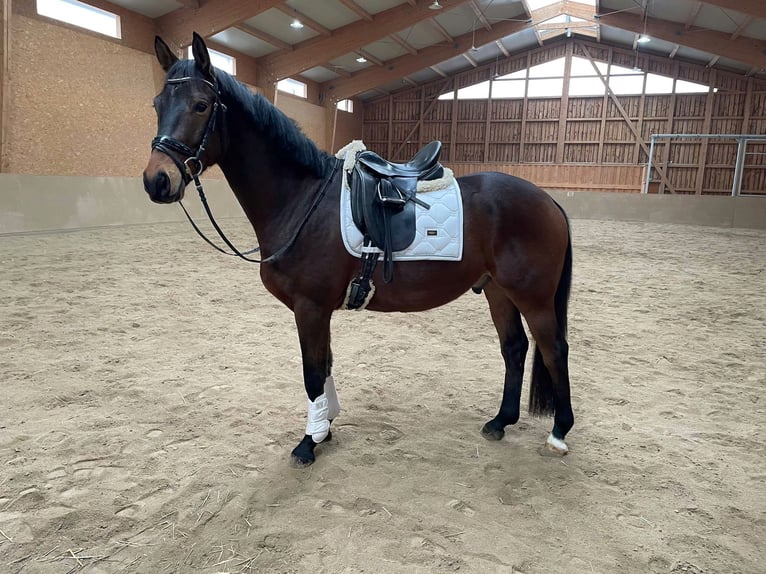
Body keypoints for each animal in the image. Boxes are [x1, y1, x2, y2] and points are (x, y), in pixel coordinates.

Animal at [142, 33, 575, 466]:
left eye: (201, 105)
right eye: (157, 103)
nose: (156, 181)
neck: (303, 199)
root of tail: (549, 201)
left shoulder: (310, 307)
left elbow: (312, 374)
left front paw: (309, 441)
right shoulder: (318, 310)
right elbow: (325, 366)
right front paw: (326, 426)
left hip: (533, 297)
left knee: (554, 349)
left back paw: (559, 431)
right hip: (498, 291)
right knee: (515, 348)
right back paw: (501, 421)